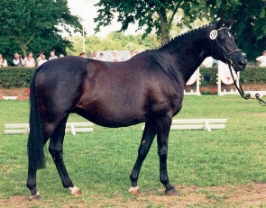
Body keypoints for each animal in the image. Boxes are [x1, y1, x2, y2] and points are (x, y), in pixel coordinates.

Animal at [26, 21, 247, 198]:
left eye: (233, 37)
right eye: (222, 39)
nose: (242, 61)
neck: (168, 67)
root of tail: (42, 67)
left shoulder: (151, 120)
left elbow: (143, 148)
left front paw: (133, 183)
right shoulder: (164, 118)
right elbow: (162, 150)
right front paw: (168, 186)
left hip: (61, 119)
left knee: (56, 150)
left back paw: (71, 187)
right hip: (51, 119)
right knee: (33, 147)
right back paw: (33, 189)